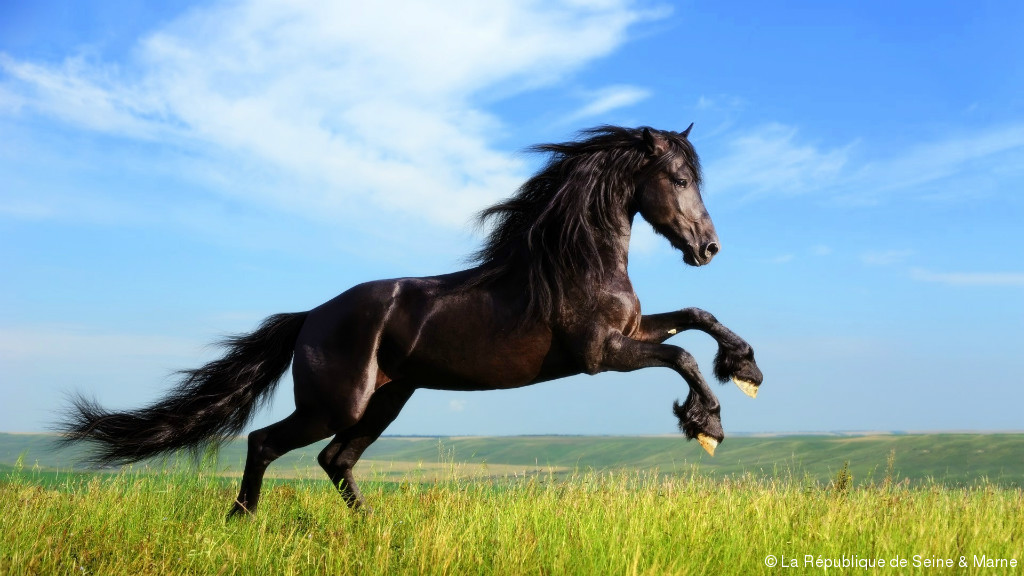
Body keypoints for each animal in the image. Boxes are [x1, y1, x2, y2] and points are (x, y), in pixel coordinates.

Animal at [57, 125, 763, 516]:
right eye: (678, 178)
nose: (708, 248)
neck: (575, 263)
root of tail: (310, 317)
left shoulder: (631, 333)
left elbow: (696, 317)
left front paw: (746, 369)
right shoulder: (601, 354)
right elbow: (682, 355)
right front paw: (707, 424)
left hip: (388, 400)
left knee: (335, 460)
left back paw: (369, 529)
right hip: (336, 403)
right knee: (267, 444)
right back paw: (241, 521)